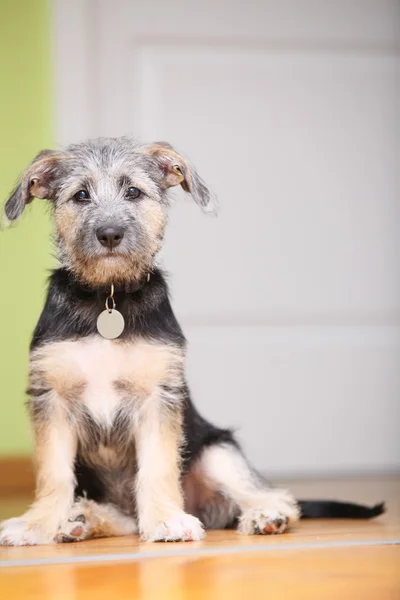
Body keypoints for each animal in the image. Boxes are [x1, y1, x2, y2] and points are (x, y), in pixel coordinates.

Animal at [0, 138, 384, 548]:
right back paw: (82, 519)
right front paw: (36, 523)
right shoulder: (51, 398)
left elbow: (156, 466)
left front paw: (166, 520)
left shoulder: (158, 397)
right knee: (125, 519)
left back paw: (265, 516)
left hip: (218, 451)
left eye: (133, 192)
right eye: (81, 195)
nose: (110, 234)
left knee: (276, 497)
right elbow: (54, 473)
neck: (108, 297)